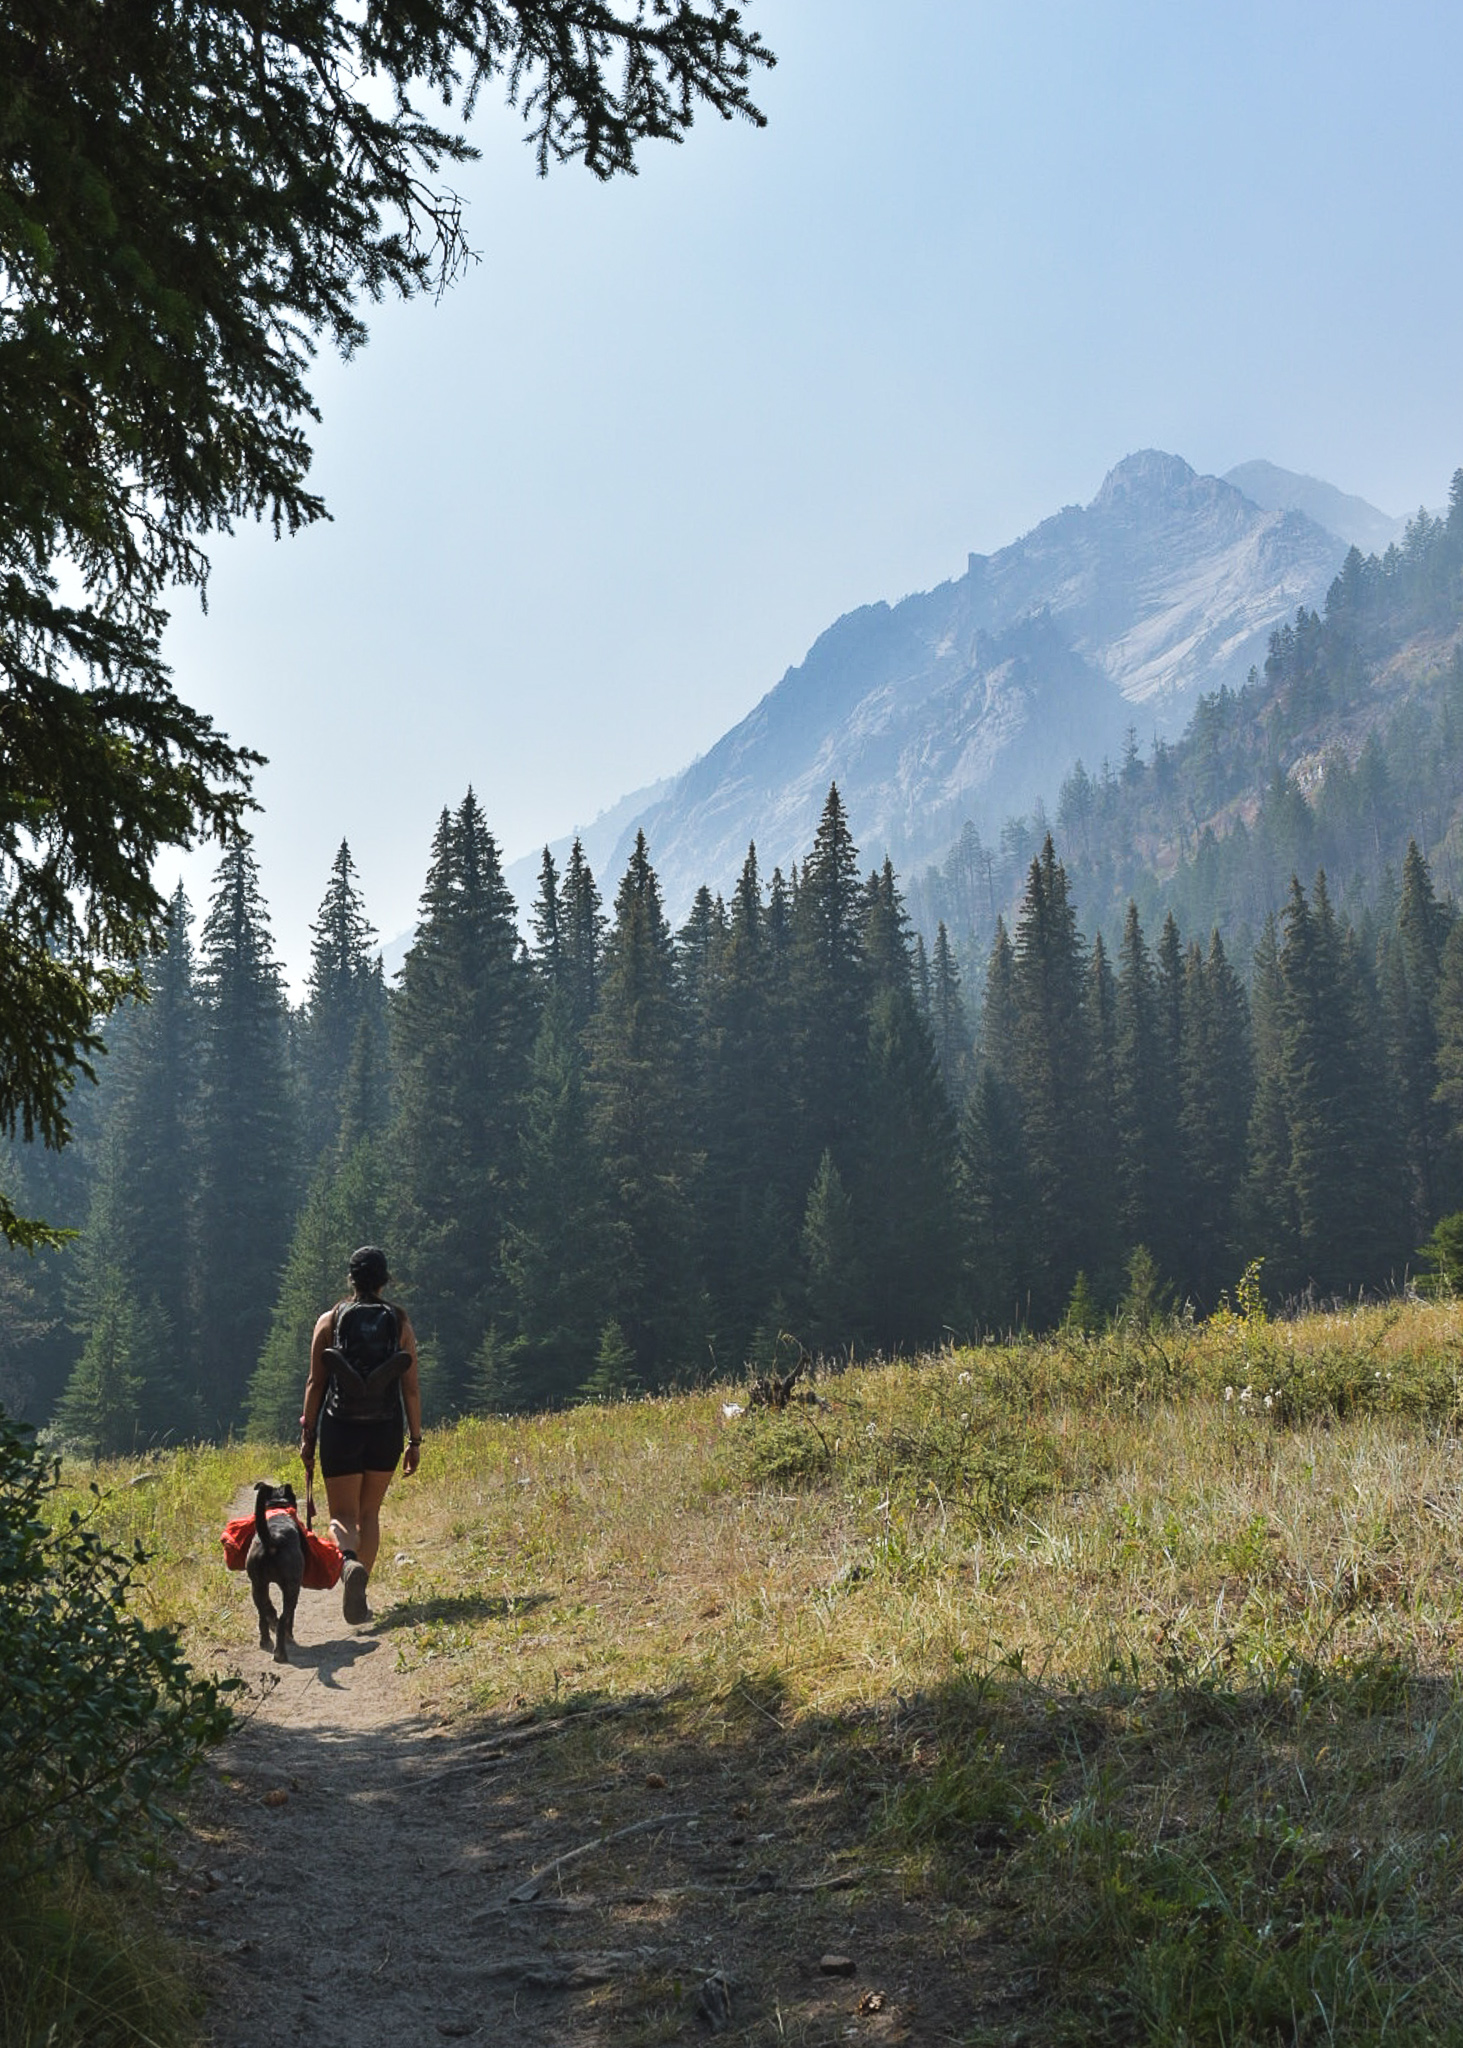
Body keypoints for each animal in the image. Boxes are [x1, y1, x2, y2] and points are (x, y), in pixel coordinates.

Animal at [244, 1482, 305, 1654]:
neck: (278, 1506)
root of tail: (272, 1540)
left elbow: (268, 1607)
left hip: (257, 1585)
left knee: (262, 1612)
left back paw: (266, 1640)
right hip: (292, 1587)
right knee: (285, 1617)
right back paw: (282, 1648)